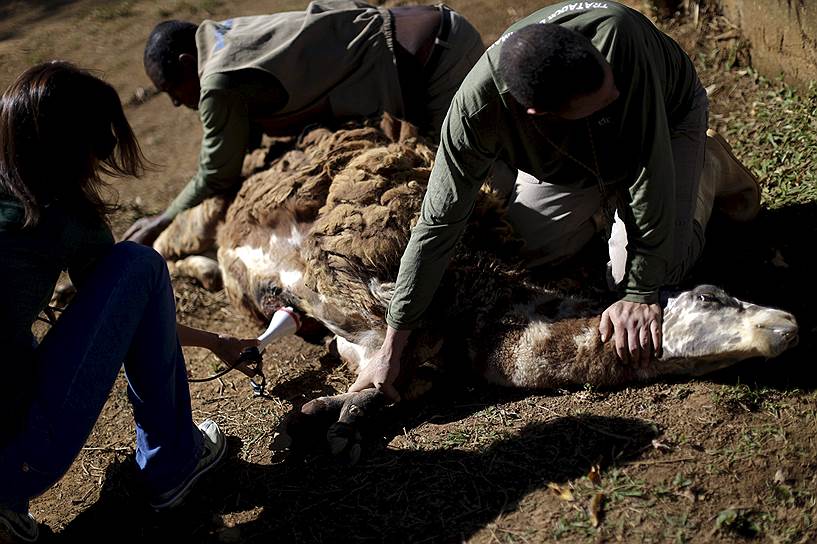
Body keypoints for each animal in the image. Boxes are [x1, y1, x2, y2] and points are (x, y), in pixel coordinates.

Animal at [153, 118, 796, 460]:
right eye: (709, 295)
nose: (786, 325)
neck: (475, 303)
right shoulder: (337, 275)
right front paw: (309, 425)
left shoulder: (385, 351)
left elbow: (380, 390)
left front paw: (329, 421)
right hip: (214, 205)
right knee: (169, 234)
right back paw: (193, 268)